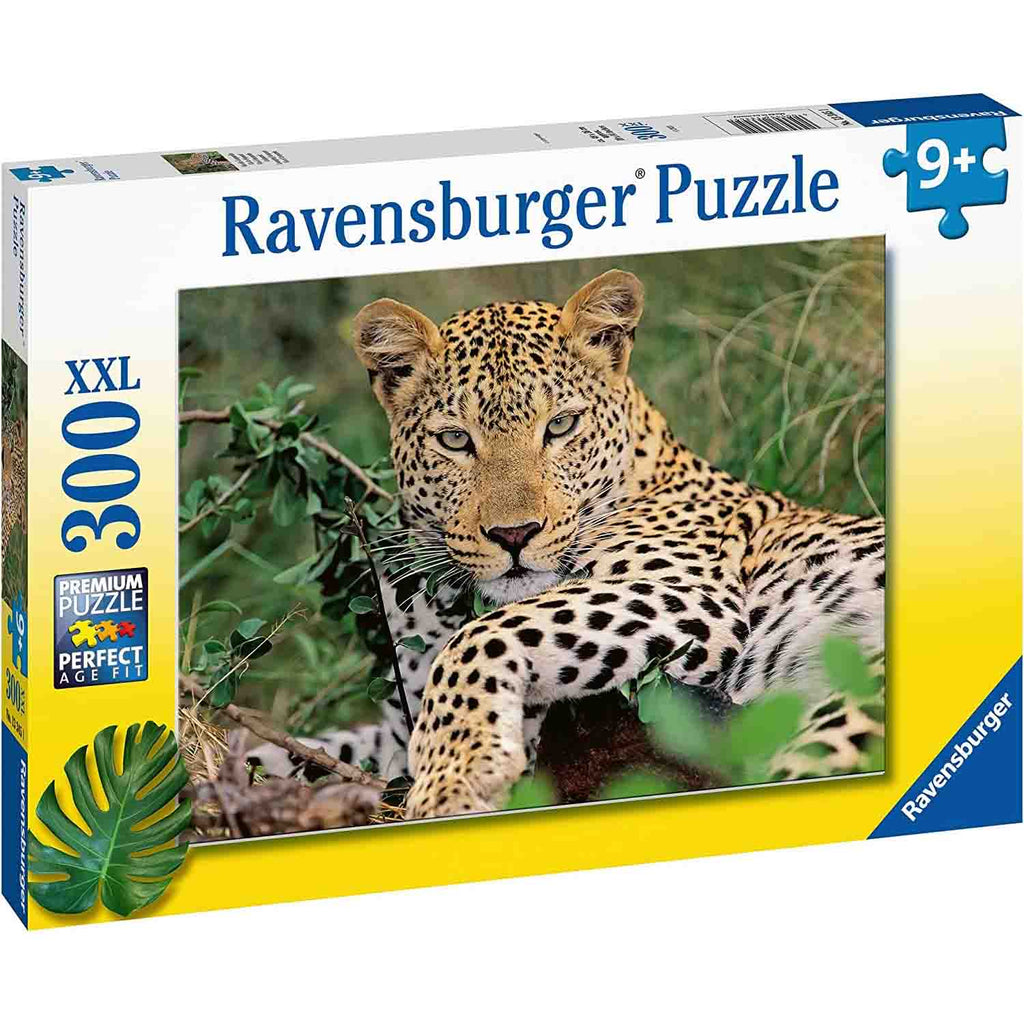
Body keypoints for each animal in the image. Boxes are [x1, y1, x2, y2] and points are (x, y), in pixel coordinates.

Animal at [247, 270, 885, 817]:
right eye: (455, 440)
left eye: (559, 427)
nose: (514, 534)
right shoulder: (398, 723)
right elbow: (302, 746)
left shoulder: (687, 593)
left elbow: (480, 637)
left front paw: (455, 776)